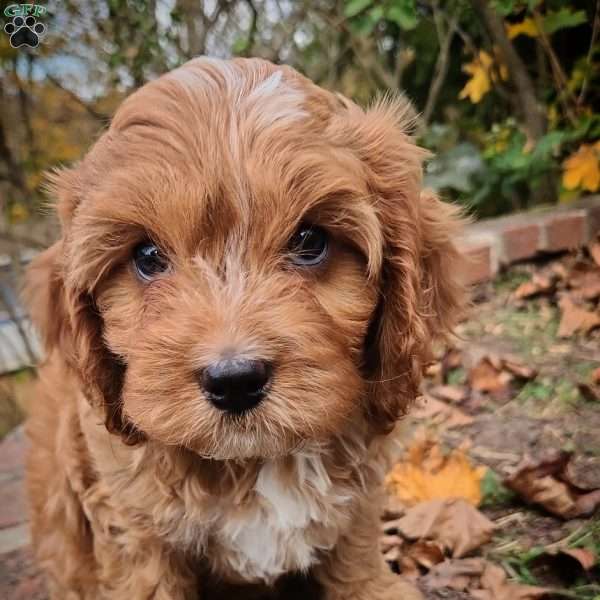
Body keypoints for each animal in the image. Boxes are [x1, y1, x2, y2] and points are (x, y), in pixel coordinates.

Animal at [23, 57, 466, 600]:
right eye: (147, 256)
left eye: (310, 240)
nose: (234, 380)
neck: (255, 461)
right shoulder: (133, 528)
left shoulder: (358, 502)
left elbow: (354, 554)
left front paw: (374, 588)